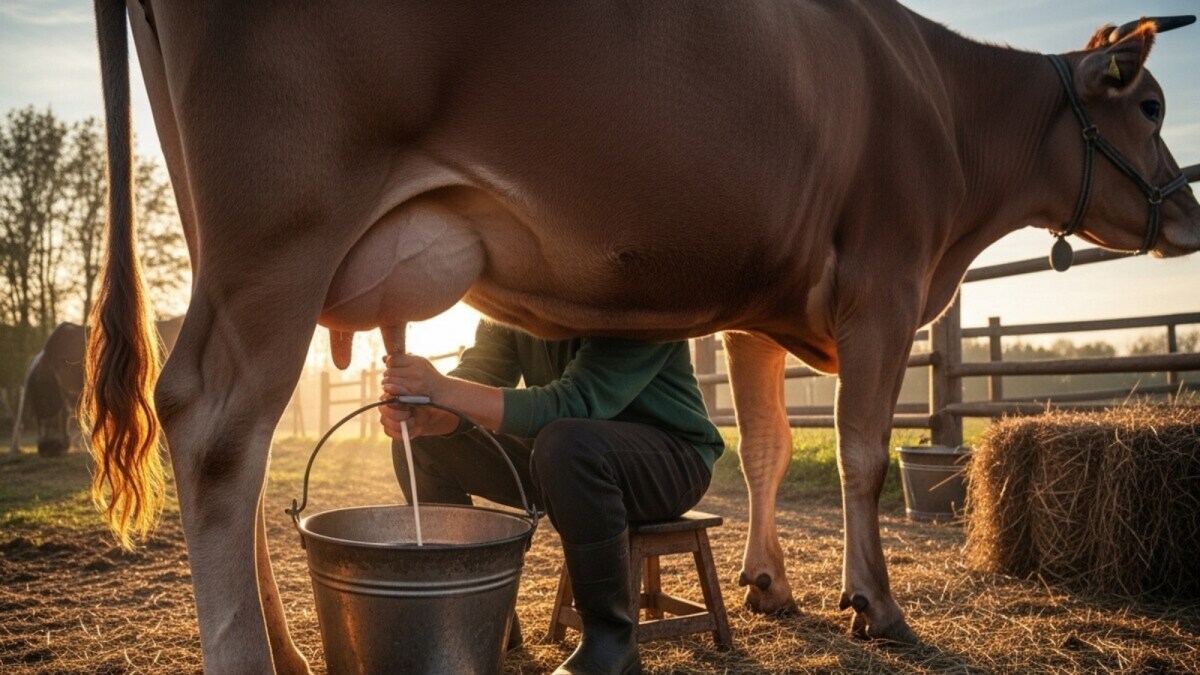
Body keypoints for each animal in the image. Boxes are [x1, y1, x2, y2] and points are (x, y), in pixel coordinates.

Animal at [87, 1, 1198, 671]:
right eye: (1150, 103)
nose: (1190, 213)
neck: (942, 119)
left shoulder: (759, 307)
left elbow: (763, 446)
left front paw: (768, 585)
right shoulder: (883, 284)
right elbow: (862, 454)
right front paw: (873, 604)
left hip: (221, 229)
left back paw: (294, 647)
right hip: (284, 224)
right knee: (215, 423)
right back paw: (248, 654)